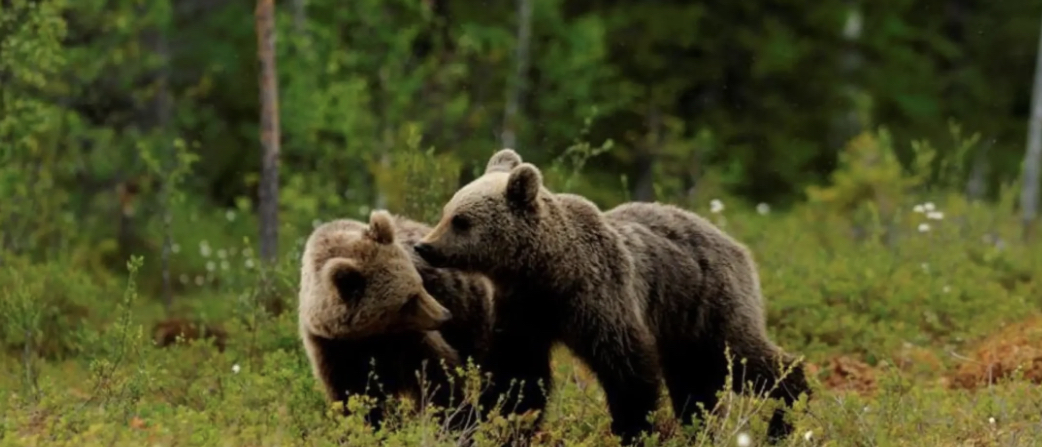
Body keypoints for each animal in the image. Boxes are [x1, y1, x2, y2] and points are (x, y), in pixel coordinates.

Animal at [298, 209, 495, 431]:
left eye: (420, 284)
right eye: (407, 301)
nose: (445, 316)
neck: (367, 336)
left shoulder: (407, 339)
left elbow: (437, 373)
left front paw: (455, 418)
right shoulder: (331, 348)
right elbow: (351, 395)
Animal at [414, 149, 812, 441]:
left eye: (461, 221)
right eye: (447, 211)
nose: (424, 246)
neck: (548, 271)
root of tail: (736, 245)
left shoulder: (599, 297)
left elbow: (627, 366)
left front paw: (633, 429)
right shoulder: (523, 310)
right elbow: (520, 375)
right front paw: (494, 422)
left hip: (709, 303)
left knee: (742, 357)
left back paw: (789, 409)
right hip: (682, 324)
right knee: (696, 384)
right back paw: (701, 427)